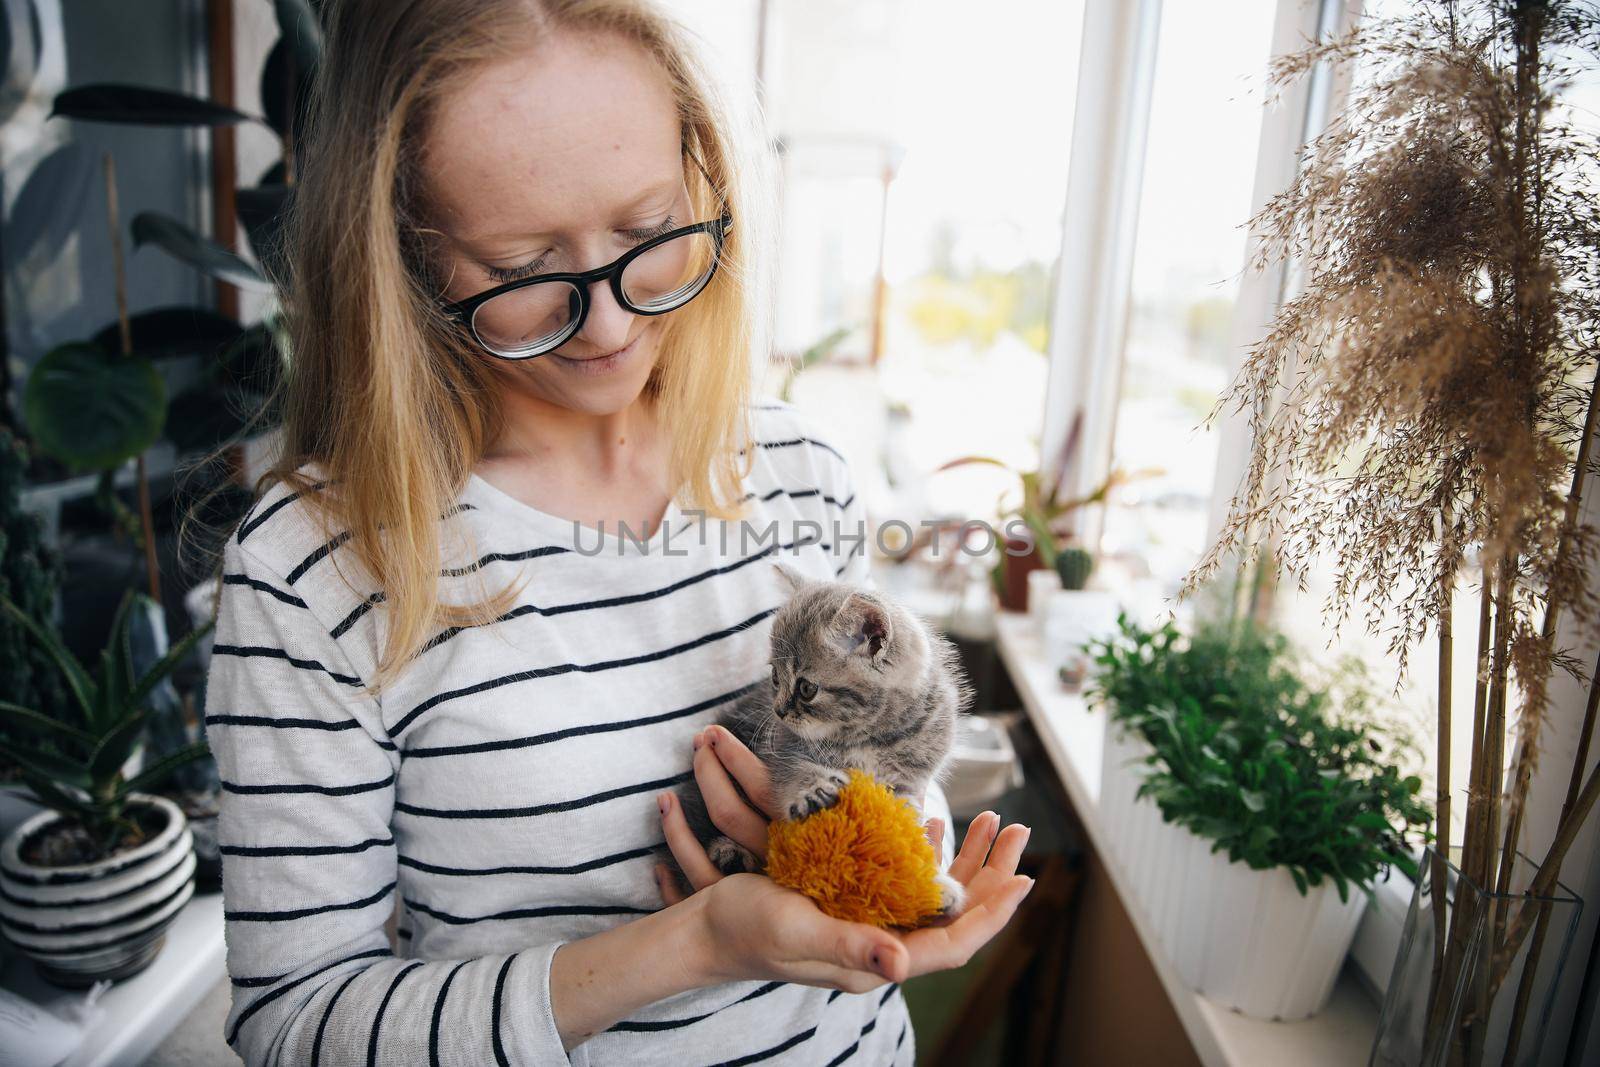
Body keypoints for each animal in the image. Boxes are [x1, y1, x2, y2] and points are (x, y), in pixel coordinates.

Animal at [672, 563, 966, 915]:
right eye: (775, 678)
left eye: (806, 688)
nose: (778, 711)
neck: (868, 735)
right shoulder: (780, 748)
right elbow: (795, 770)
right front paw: (814, 789)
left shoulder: (907, 782)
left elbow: (901, 831)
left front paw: (930, 884)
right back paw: (727, 853)